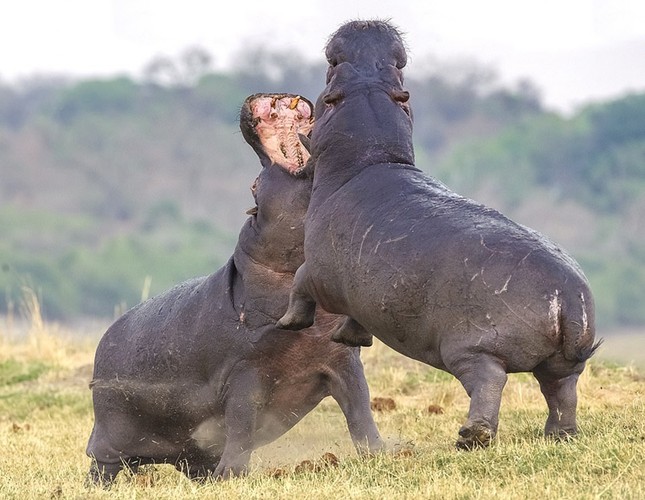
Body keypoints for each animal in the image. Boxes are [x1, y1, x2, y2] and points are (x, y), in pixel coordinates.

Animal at [87, 93, 384, 484]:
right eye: (254, 186)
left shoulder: (342, 359)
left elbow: (360, 408)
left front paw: (385, 453)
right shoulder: (245, 372)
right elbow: (242, 422)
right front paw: (232, 475)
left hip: (186, 450)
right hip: (107, 437)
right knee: (101, 465)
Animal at [278, 19, 604, 450]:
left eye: (330, 75)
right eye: (398, 69)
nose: (367, 26)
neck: (370, 152)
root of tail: (567, 297)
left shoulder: (319, 271)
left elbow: (300, 283)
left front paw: (286, 324)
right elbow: (356, 317)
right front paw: (349, 339)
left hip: (470, 350)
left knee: (490, 383)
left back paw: (471, 437)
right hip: (564, 362)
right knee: (561, 390)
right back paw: (559, 436)